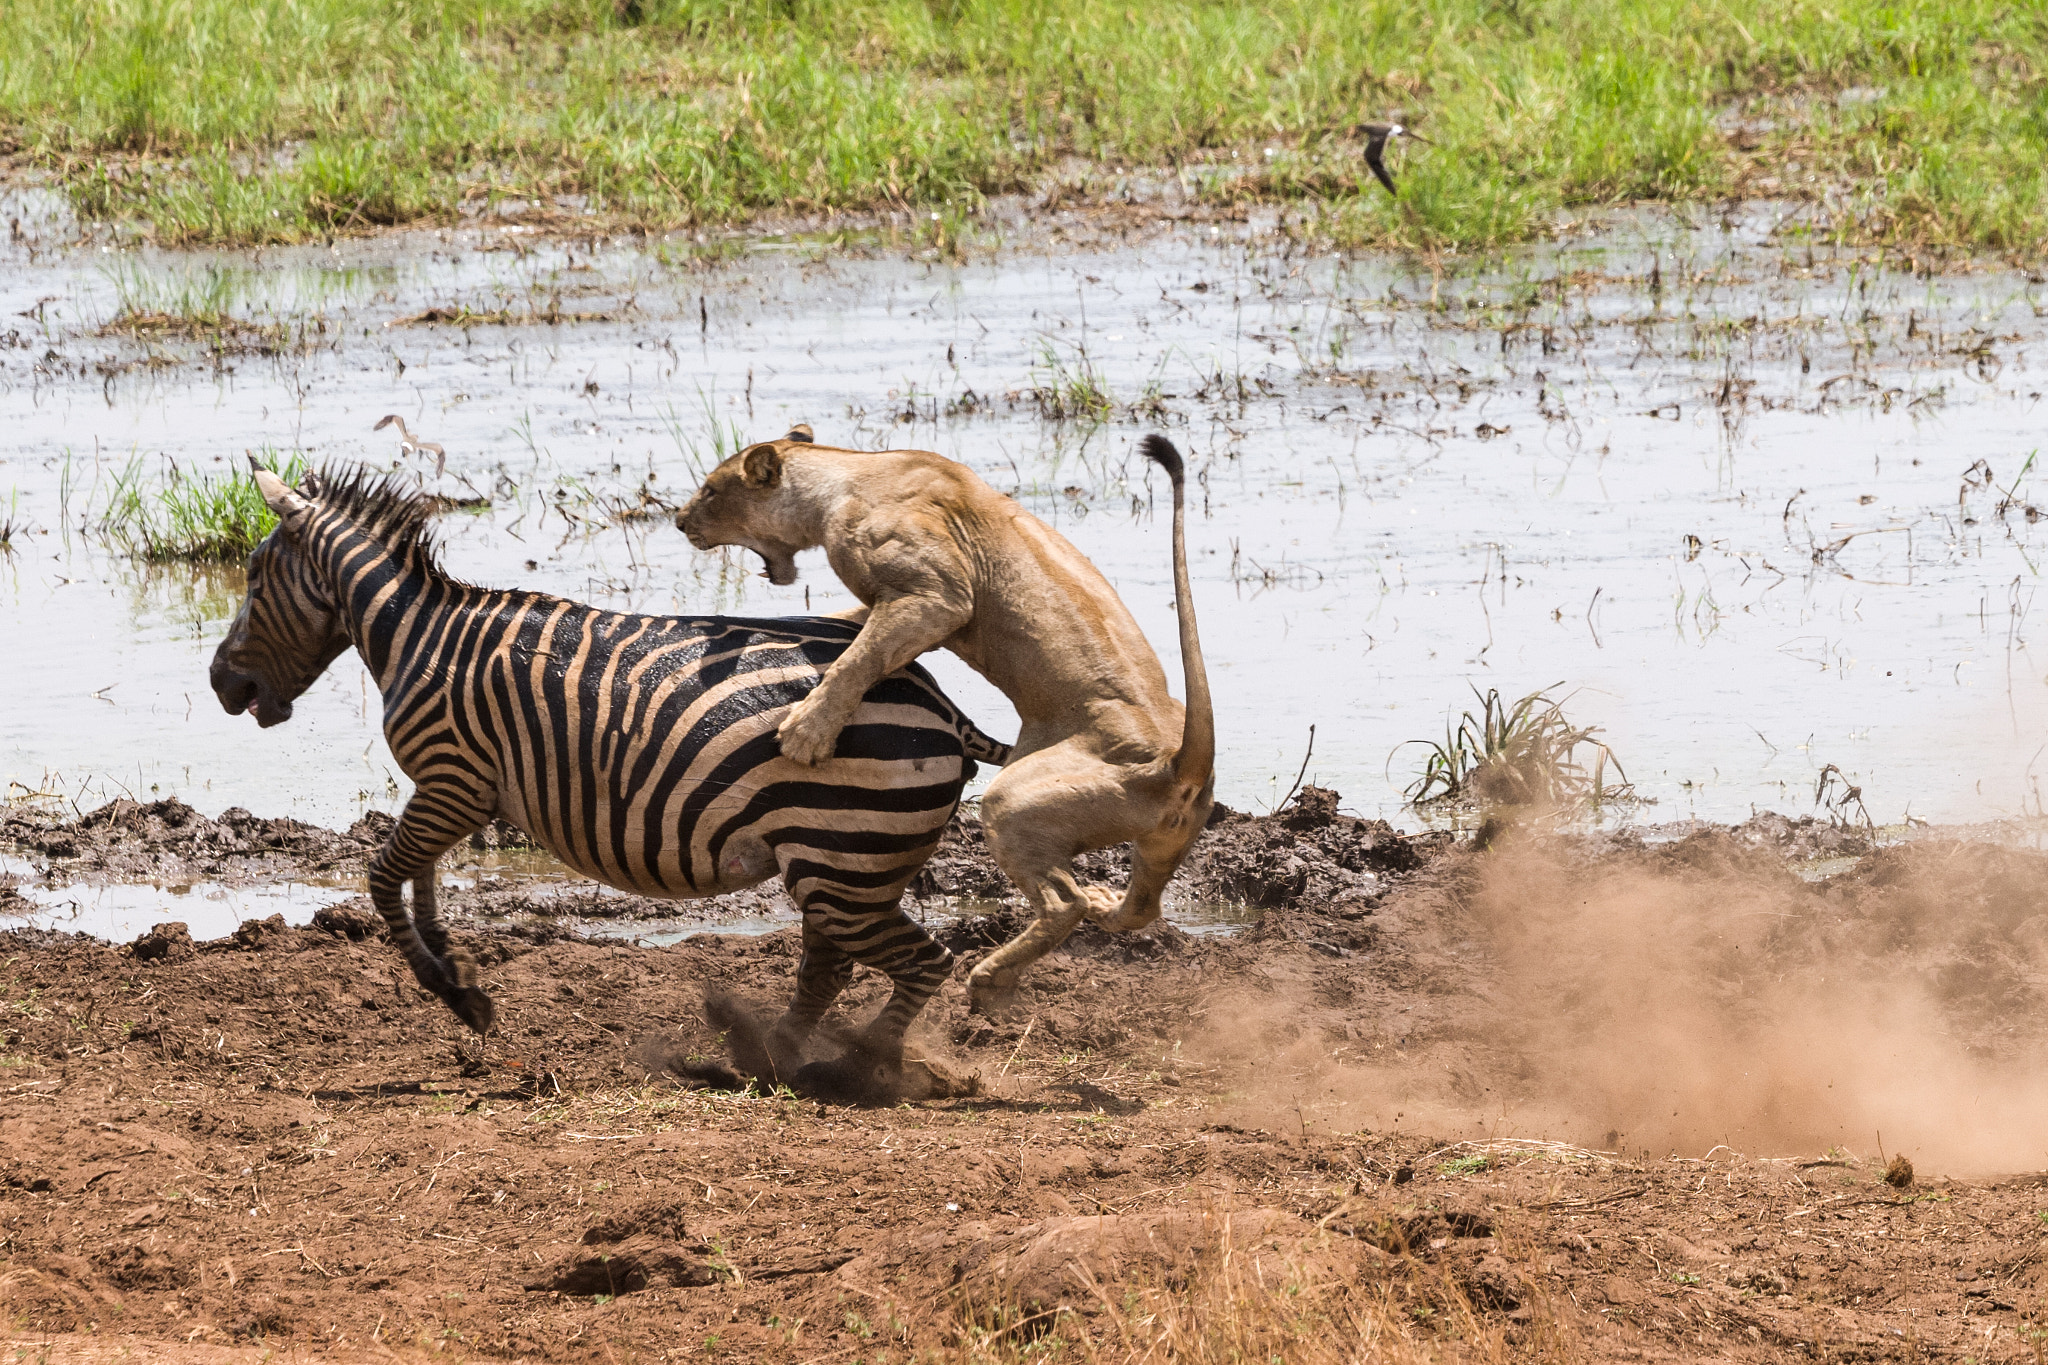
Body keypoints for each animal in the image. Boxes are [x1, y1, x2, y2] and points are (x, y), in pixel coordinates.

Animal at [208, 463, 1010, 1082]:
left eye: (252, 576)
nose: (218, 683)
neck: (418, 636)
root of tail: (943, 704)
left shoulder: (453, 779)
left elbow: (381, 878)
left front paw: (458, 995)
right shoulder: (450, 789)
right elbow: (423, 882)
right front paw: (460, 970)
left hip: (844, 861)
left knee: (923, 962)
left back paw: (854, 1068)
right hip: (841, 865)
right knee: (833, 967)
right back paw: (772, 1056)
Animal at [675, 425, 1215, 1015]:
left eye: (710, 491)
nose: (678, 521)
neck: (841, 480)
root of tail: (1177, 763)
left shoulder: (937, 597)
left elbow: (857, 658)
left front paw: (805, 733)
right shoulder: (898, 603)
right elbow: (847, 629)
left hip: (1013, 801)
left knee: (1060, 902)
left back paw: (992, 979)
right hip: (1161, 846)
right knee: (1142, 908)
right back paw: (1103, 903)